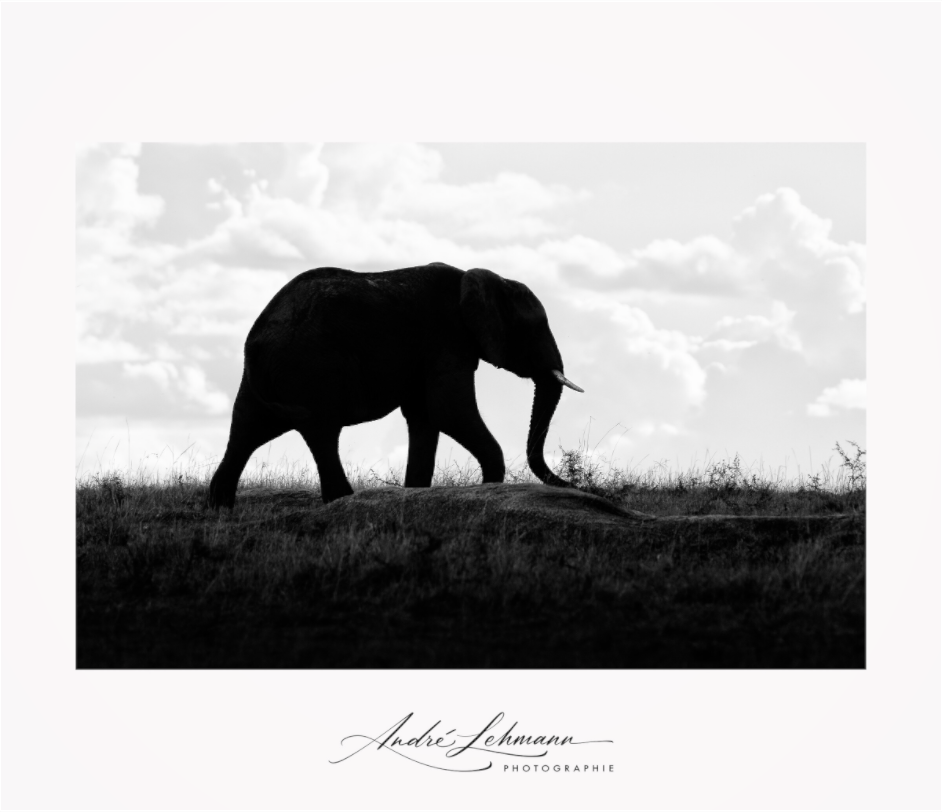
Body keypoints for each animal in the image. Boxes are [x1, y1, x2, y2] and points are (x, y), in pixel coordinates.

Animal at [208, 262, 583, 506]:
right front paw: (489, 489)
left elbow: (425, 417)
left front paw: (415, 492)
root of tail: (255, 339)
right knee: (321, 431)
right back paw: (342, 501)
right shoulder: (446, 339)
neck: (482, 278)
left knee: (245, 430)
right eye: (535, 328)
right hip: (313, 367)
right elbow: (449, 411)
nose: (577, 484)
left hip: (271, 377)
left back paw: (221, 506)